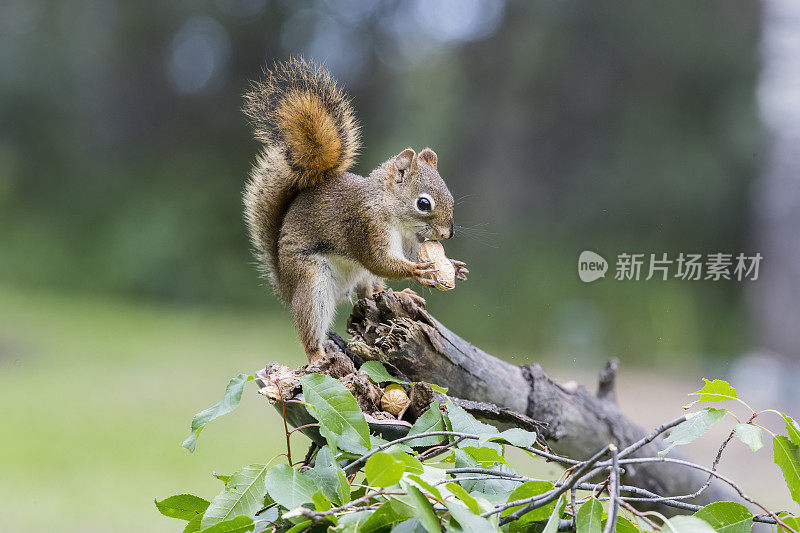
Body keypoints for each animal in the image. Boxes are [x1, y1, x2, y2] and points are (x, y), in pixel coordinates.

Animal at [241, 58, 466, 362]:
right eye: (423, 203)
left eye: (450, 197)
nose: (447, 234)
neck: (393, 215)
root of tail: (284, 284)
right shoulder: (365, 226)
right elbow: (379, 260)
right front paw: (418, 271)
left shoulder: (409, 243)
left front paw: (452, 266)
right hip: (311, 281)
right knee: (312, 322)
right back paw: (317, 355)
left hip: (362, 279)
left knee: (371, 295)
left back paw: (403, 296)